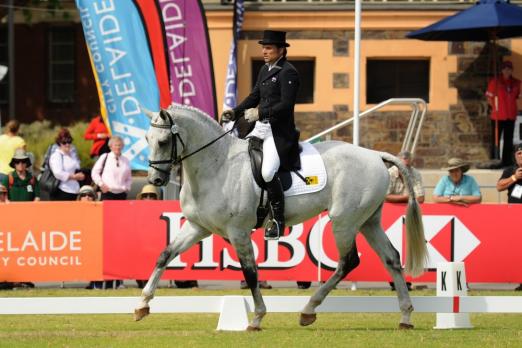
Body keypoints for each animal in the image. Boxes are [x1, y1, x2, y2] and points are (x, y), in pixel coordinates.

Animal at [132, 103, 424, 328]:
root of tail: (376, 155)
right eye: (146, 140)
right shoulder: (196, 226)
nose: (155, 180)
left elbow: (250, 272)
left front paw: (257, 318)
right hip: (368, 221)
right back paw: (406, 316)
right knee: (391, 258)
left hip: (344, 222)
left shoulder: (238, 232)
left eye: (163, 141)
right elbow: (165, 255)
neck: (217, 166)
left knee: (348, 262)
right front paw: (142, 304)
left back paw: (308, 310)